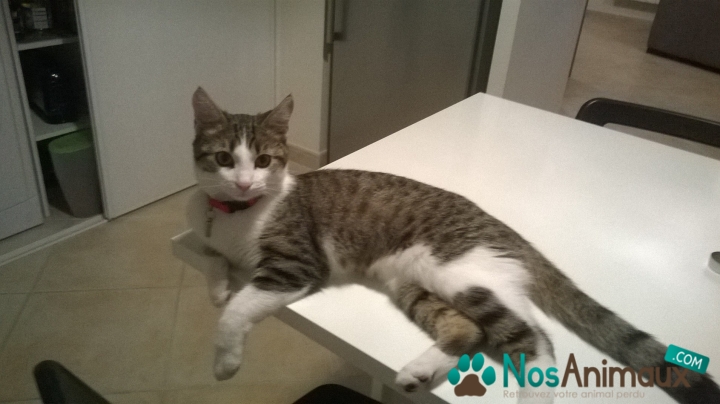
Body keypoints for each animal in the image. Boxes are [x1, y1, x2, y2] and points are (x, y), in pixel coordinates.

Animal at [186, 87, 719, 403]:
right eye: (222, 159)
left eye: (263, 160)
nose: (243, 182)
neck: (235, 216)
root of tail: (511, 234)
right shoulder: (203, 231)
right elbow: (202, 253)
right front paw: (216, 285)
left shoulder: (295, 266)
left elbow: (236, 310)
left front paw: (224, 360)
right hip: (412, 283)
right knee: (469, 330)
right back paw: (419, 372)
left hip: (462, 274)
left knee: (536, 339)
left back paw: (532, 393)